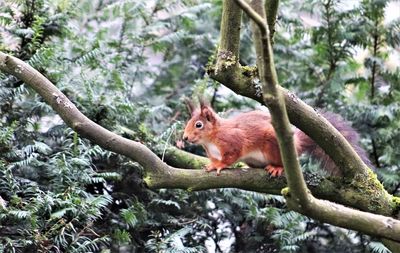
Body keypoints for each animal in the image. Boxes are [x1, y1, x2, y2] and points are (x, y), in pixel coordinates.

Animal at [183, 99, 370, 176]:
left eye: (198, 125)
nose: (184, 138)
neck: (210, 140)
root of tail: (296, 144)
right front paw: (212, 165)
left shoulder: (233, 141)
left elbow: (231, 156)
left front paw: (219, 165)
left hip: (273, 145)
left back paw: (277, 168)